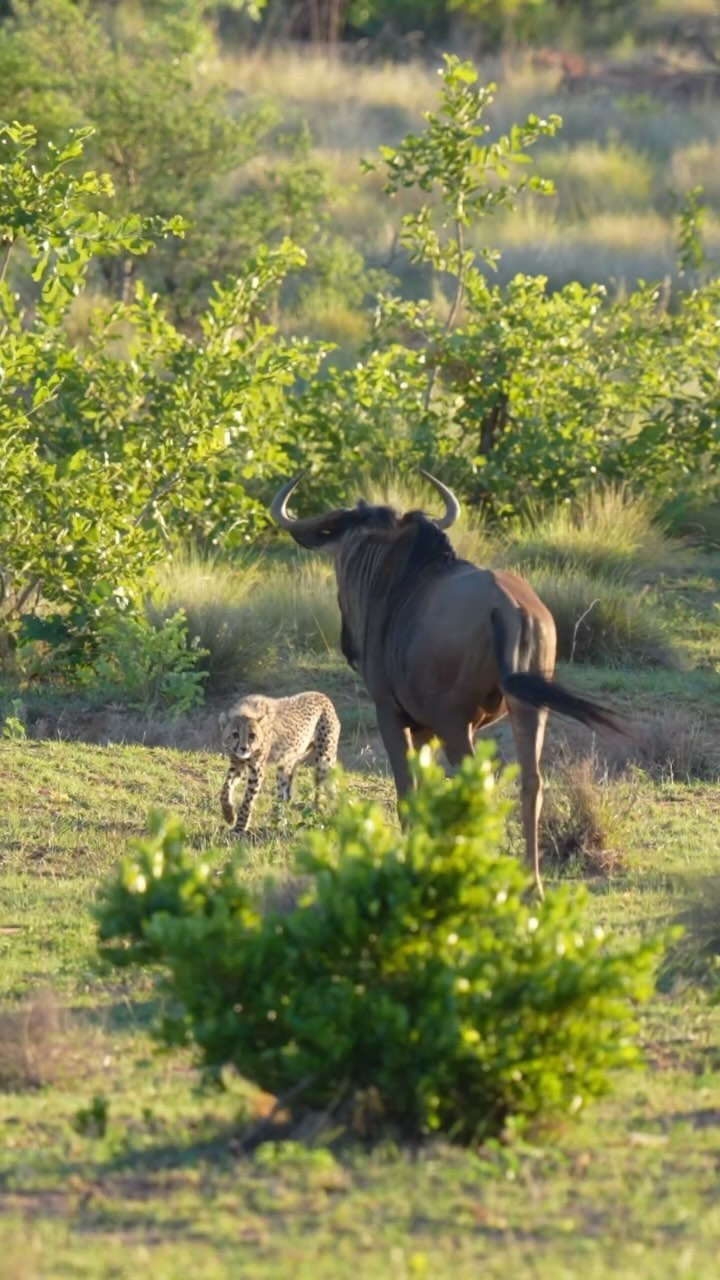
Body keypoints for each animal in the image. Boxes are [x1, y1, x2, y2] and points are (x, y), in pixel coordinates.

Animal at [219, 696, 338, 834]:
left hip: (324, 762)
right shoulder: (237, 764)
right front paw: (229, 815)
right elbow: (225, 790)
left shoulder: (256, 770)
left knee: (329, 790)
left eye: (252, 735)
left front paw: (239, 827)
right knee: (283, 793)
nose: (244, 748)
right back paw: (278, 819)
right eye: (235, 734)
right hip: (287, 763)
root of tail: (323, 696)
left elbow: (247, 801)